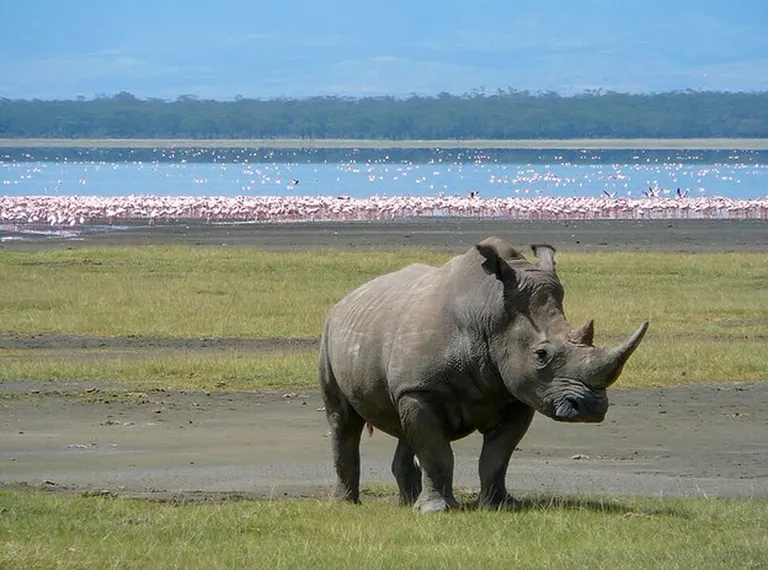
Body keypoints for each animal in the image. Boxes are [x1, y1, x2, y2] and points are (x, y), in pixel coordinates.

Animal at [319, 237, 648, 512]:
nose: (591, 409)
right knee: (343, 420)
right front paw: (437, 511)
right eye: (540, 355)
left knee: (403, 423)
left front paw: (501, 505)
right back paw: (347, 504)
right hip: (330, 333)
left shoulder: (516, 394)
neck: (489, 311)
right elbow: (436, 453)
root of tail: (346, 299)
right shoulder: (422, 389)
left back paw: (407, 503)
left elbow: (497, 457)